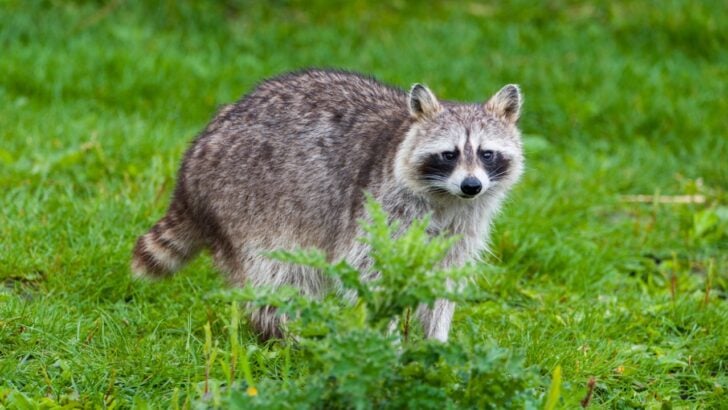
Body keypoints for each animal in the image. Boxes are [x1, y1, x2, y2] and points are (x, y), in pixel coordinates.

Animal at [132, 69, 524, 341]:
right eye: (449, 154)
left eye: (487, 154)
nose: (472, 186)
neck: (446, 197)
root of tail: (191, 165)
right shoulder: (379, 208)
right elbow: (367, 271)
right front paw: (388, 340)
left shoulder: (463, 225)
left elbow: (443, 278)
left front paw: (436, 339)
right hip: (247, 201)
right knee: (282, 274)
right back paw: (286, 333)